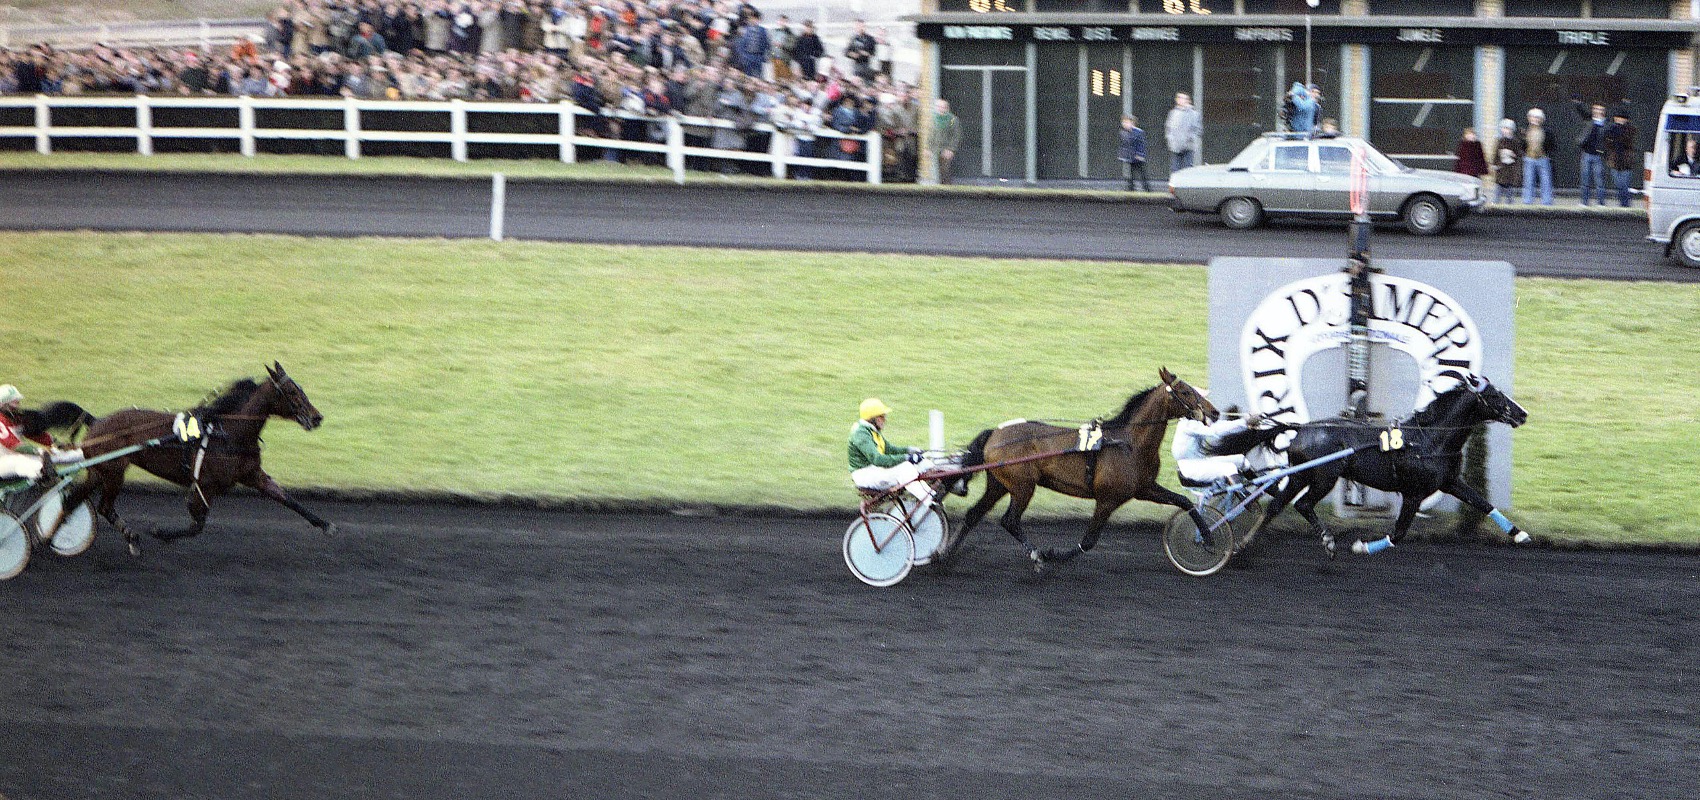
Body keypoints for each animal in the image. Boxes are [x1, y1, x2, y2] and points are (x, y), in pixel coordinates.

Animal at [63, 363, 334, 557]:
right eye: (292, 391)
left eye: (300, 388)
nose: (317, 417)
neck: (230, 434)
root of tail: (96, 422)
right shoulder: (205, 485)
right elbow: (197, 526)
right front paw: (161, 532)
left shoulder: (253, 475)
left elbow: (286, 498)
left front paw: (324, 524)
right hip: (113, 472)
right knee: (101, 506)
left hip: (100, 471)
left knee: (76, 501)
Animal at [958, 366, 1224, 574]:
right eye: (1186, 391)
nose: (1214, 411)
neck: (1129, 443)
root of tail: (995, 433)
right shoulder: (1108, 499)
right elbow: (1089, 540)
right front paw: (1053, 555)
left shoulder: (1144, 488)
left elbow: (1183, 501)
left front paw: (1208, 538)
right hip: (1022, 486)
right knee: (1010, 520)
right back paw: (1036, 555)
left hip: (999, 484)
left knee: (973, 514)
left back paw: (948, 556)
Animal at [1244, 371, 1536, 560]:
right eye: (1495, 396)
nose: (1522, 414)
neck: (1428, 439)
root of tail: (1301, 429)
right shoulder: (1414, 493)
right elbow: (1398, 533)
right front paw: (1360, 547)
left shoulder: (1450, 482)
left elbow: (1484, 504)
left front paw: (1519, 535)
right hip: (1323, 478)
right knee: (1303, 504)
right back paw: (1327, 541)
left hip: (1299, 476)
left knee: (1276, 506)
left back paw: (1244, 545)